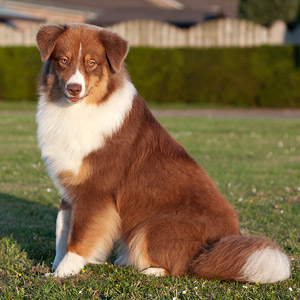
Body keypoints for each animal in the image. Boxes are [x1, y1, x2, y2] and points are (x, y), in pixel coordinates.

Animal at [35, 23, 290, 282]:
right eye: (63, 60)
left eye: (92, 63)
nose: (74, 89)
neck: (78, 109)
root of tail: (217, 246)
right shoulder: (70, 188)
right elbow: (61, 230)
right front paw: (55, 267)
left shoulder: (95, 191)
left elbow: (78, 237)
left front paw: (64, 272)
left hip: (153, 226)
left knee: (185, 266)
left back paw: (152, 269)